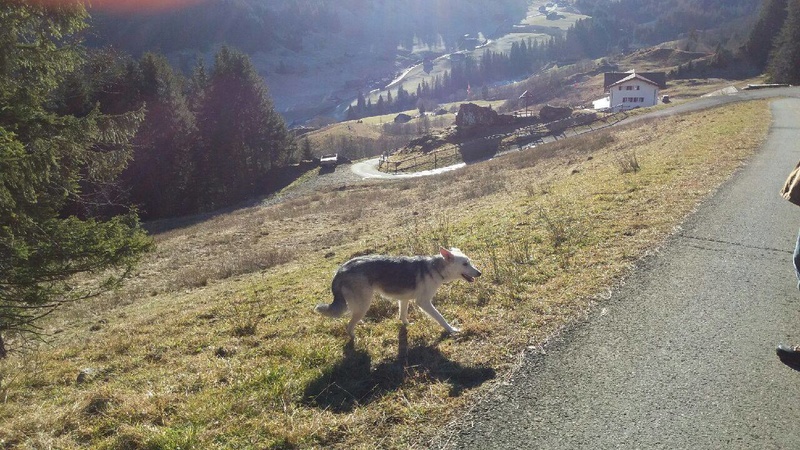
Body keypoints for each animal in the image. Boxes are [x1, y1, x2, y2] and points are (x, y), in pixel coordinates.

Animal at [316, 246, 484, 338]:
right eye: (465, 264)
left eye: (469, 262)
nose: (480, 273)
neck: (436, 268)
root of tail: (341, 270)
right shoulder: (424, 303)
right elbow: (440, 318)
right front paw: (451, 330)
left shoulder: (404, 299)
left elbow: (402, 315)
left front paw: (407, 325)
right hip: (364, 303)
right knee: (349, 326)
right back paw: (355, 339)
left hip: (359, 304)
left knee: (351, 316)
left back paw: (361, 324)